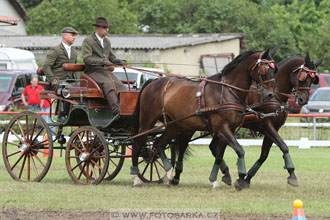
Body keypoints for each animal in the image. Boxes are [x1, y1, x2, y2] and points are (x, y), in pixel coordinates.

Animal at [130, 49, 278, 188]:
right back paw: (136, 178)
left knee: (159, 144)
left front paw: (216, 180)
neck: (226, 92)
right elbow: (239, 150)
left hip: (174, 125)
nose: (270, 94)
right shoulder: (222, 128)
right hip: (147, 122)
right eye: (265, 69)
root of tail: (153, 81)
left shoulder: (229, 129)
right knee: (137, 144)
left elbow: (219, 154)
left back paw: (168, 174)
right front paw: (241, 178)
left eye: (274, 70)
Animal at [170, 52, 322, 189]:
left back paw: (225, 174)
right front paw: (291, 174)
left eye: (313, 79)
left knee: (212, 147)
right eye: (302, 77)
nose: (303, 99)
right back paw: (176, 174)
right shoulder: (266, 125)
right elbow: (283, 146)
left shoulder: (274, 128)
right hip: (189, 125)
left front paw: (247, 178)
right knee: (182, 145)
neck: (275, 95)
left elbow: (265, 154)